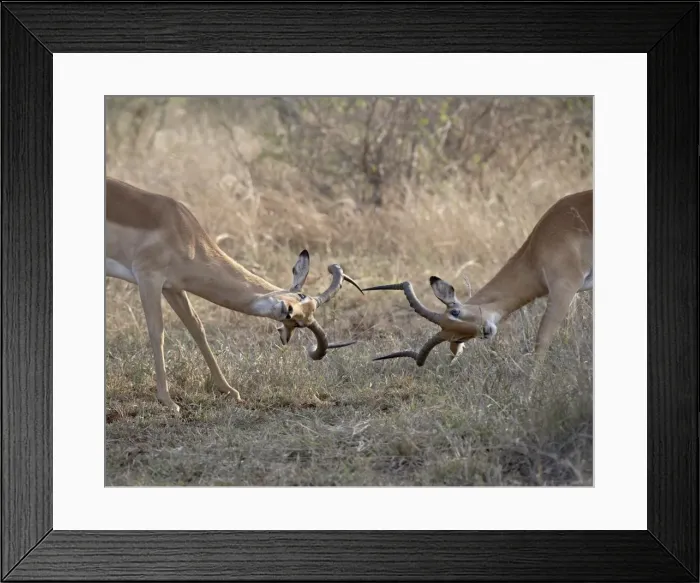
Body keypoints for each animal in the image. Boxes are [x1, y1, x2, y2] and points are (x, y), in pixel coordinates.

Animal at [106, 177, 363, 412]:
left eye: (302, 322)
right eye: (301, 298)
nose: (288, 311)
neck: (186, 234)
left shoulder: (173, 287)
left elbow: (197, 328)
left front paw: (229, 390)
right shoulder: (148, 278)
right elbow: (157, 332)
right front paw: (167, 401)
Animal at [363, 188, 593, 366]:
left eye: (455, 311)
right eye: (457, 337)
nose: (485, 330)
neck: (536, 251)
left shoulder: (564, 287)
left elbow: (541, 339)